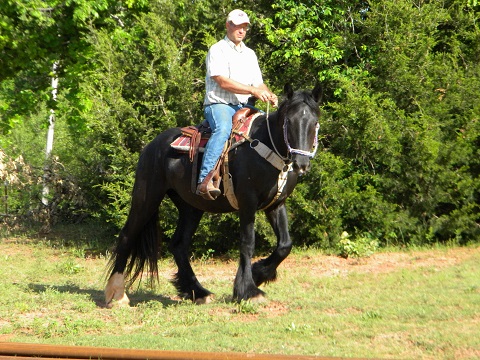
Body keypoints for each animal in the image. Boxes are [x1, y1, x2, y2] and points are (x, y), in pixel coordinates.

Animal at [105, 84, 322, 306]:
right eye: (289, 122)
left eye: (315, 123)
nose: (301, 164)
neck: (265, 147)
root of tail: (151, 146)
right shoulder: (247, 203)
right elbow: (247, 243)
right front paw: (247, 290)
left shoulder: (275, 205)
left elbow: (285, 244)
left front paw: (259, 274)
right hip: (147, 198)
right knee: (127, 236)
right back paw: (117, 295)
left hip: (190, 208)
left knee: (178, 245)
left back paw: (197, 291)